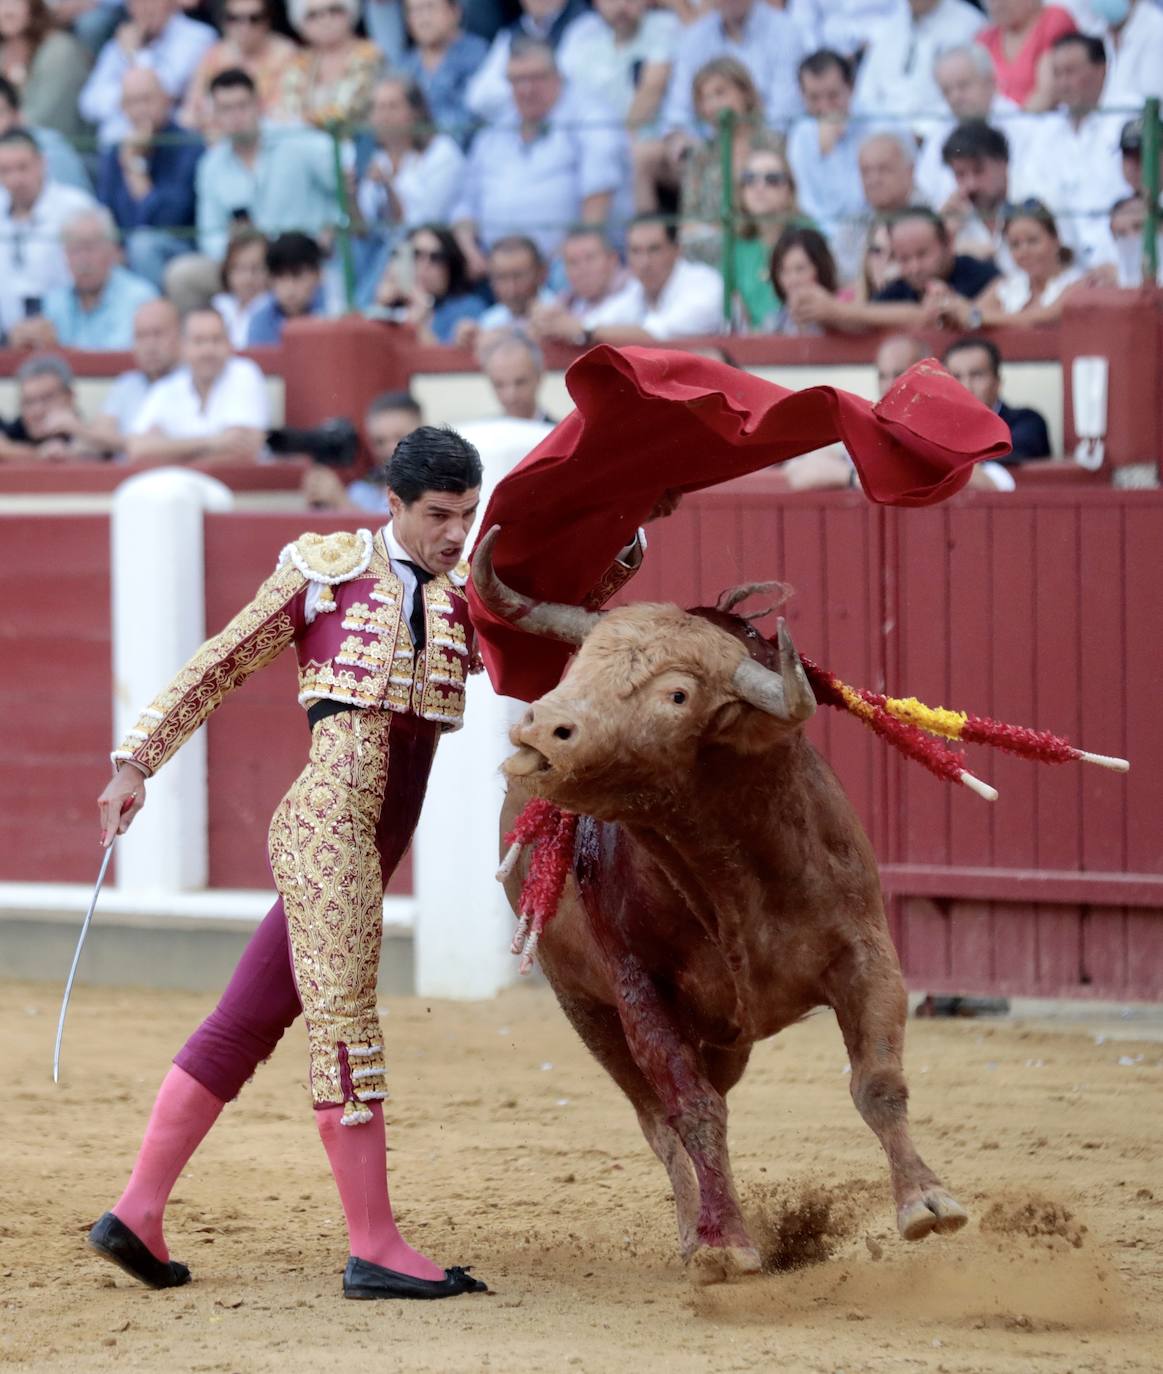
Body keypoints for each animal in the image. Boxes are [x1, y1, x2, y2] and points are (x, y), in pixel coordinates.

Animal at [475, 530, 973, 1280]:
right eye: (579, 664)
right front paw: (725, 1243)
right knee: (659, 1123)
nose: (541, 725)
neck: (734, 872)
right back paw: (696, 1232)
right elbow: (692, 1112)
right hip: (585, 1008)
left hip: (720, 1036)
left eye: (677, 694)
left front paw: (927, 1203)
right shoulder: (638, 991)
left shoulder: (868, 956)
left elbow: (878, 1080)